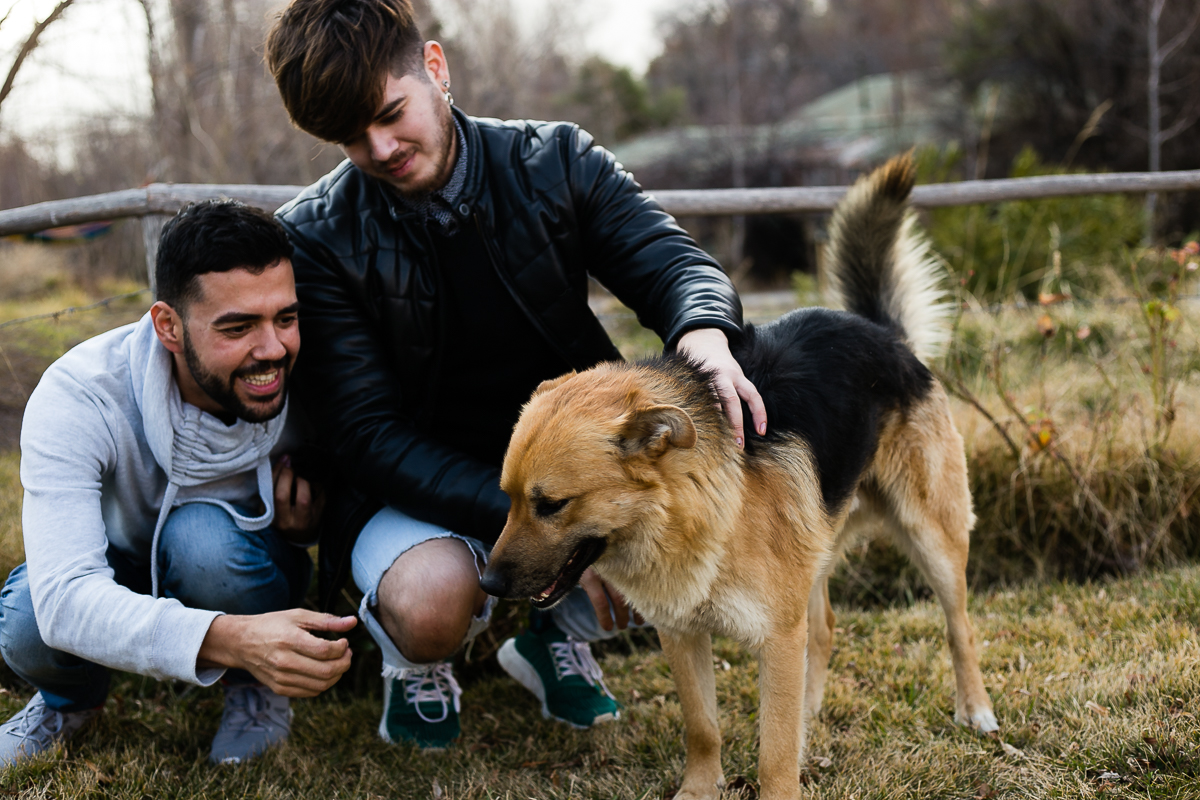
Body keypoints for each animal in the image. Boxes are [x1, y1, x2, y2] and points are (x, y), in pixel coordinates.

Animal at [480, 154, 998, 800]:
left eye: (550, 504)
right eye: (507, 499)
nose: (487, 584)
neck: (695, 510)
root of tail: (881, 333)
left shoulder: (775, 638)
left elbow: (773, 758)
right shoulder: (682, 634)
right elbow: (703, 728)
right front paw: (700, 789)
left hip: (932, 536)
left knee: (959, 626)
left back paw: (974, 708)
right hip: (815, 553)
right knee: (824, 629)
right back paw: (809, 716)